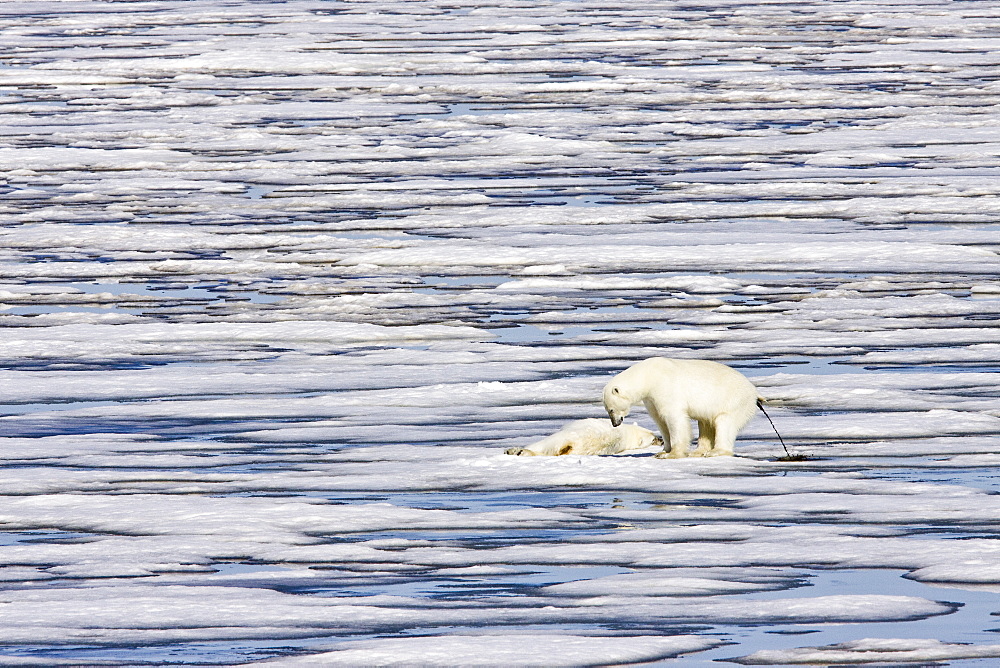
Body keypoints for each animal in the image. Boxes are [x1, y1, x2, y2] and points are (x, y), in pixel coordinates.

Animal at [604, 354, 760, 460]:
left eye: (611, 409)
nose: (615, 423)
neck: (648, 376)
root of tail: (754, 392)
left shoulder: (666, 388)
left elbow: (674, 418)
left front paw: (672, 454)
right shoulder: (651, 398)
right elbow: (659, 419)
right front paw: (662, 451)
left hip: (733, 401)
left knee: (724, 423)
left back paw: (715, 451)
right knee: (705, 424)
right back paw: (698, 452)